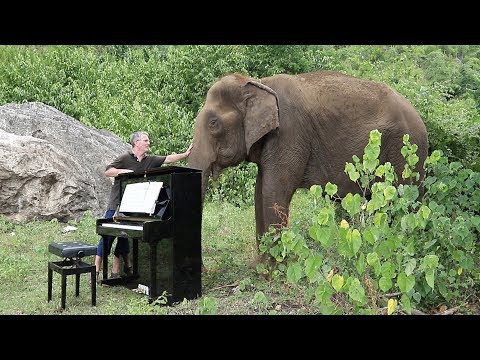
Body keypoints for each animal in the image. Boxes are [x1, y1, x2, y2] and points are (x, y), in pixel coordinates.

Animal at [187, 70, 428, 249]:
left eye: (213, 124)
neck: (258, 84)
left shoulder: (289, 134)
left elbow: (275, 191)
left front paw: (274, 272)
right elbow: (260, 191)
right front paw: (261, 270)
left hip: (405, 151)